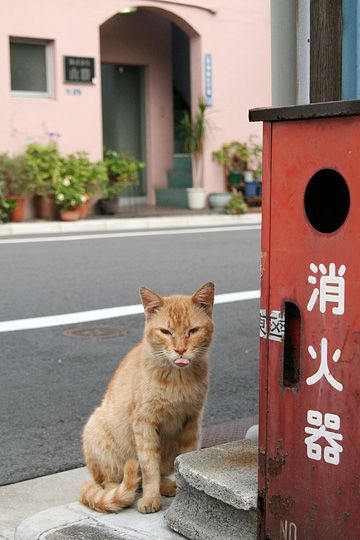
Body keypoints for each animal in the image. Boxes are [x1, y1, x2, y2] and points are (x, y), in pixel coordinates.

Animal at [80, 282, 214, 516]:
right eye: (166, 332)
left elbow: (183, 460)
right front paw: (152, 499)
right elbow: (149, 466)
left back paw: (168, 486)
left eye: (193, 331)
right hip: (97, 434)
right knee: (111, 483)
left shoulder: (192, 421)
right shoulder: (144, 424)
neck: (178, 381)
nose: (180, 350)